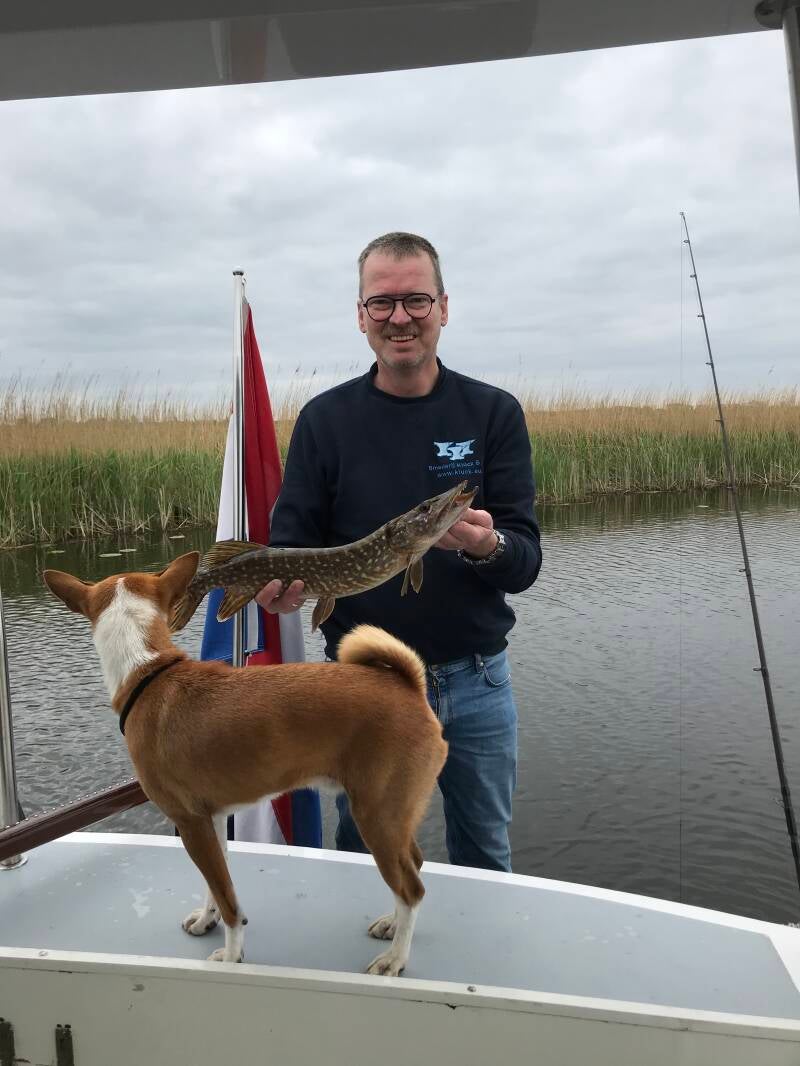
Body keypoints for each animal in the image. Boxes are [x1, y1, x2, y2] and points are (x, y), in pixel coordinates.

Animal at [43, 551, 448, 976]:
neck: (147, 672)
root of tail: (408, 686)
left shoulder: (189, 822)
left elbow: (229, 901)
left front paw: (232, 955)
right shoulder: (214, 819)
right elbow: (215, 885)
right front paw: (207, 920)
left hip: (376, 816)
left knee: (411, 889)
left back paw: (395, 959)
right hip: (394, 814)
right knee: (413, 866)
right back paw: (392, 925)